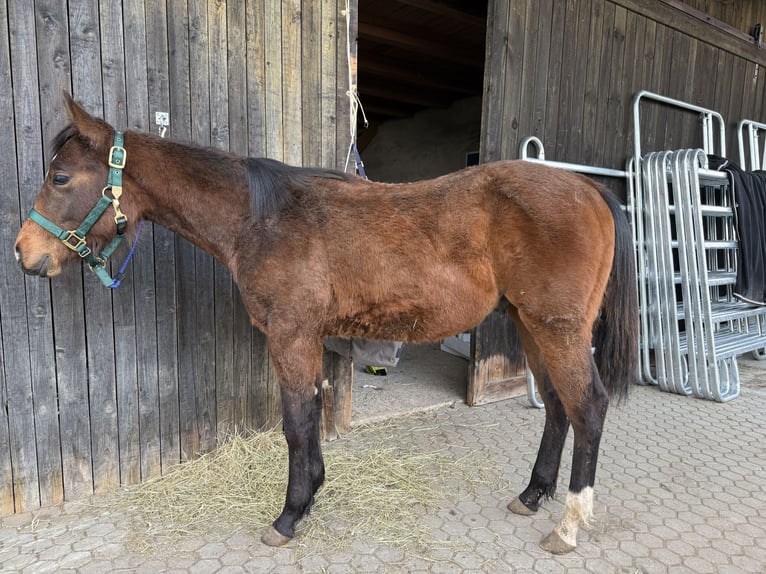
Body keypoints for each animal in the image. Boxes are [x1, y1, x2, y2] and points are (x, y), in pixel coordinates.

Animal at [14, 94, 638, 554]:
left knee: (587, 407)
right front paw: (311, 494)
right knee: (557, 407)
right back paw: (532, 495)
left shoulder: (291, 335)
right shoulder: (307, 338)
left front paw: (289, 516)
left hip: (557, 328)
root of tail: (589, 189)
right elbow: (310, 416)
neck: (262, 217)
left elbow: (296, 423)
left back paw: (567, 525)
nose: (25, 252)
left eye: (61, 177)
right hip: (531, 325)